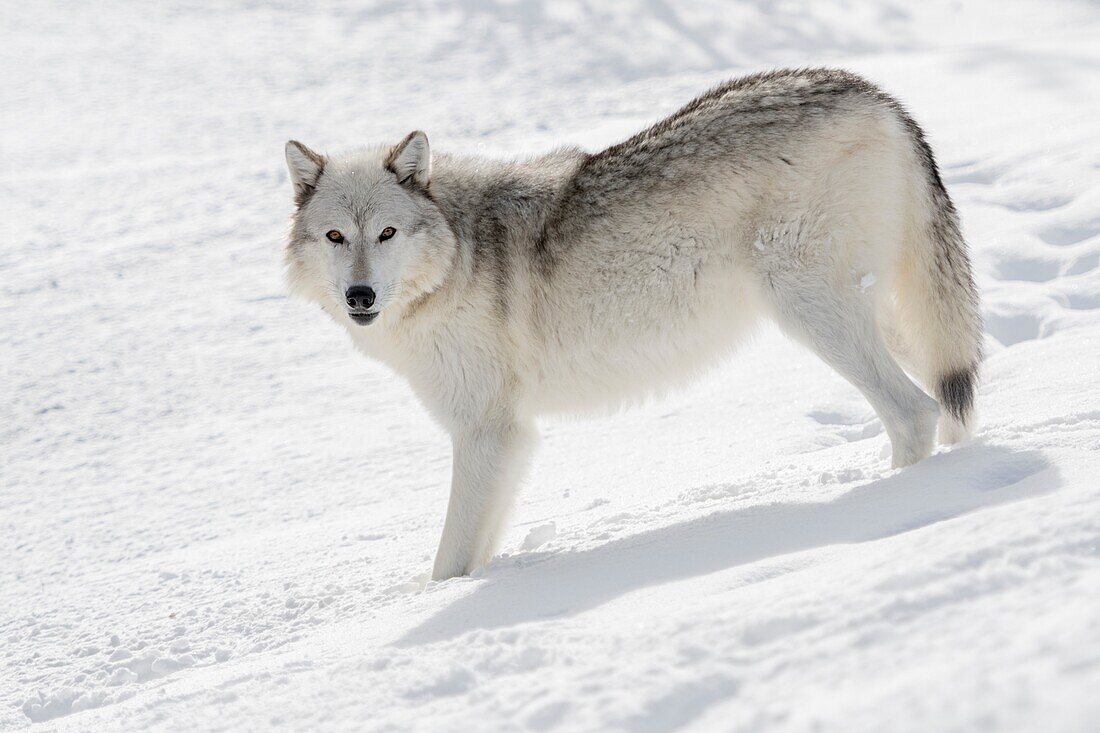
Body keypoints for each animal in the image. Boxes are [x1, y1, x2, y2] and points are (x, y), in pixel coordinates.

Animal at [281, 69, 981, 581]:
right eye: (336, 236)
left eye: (387, 233)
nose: (360, 296)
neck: (457, 256)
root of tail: (874, 94)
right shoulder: (510, 440)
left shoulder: (487, 432)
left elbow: (448, 563)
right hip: (890, 321)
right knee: (948, 401)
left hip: (811, 312)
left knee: (914, 413)